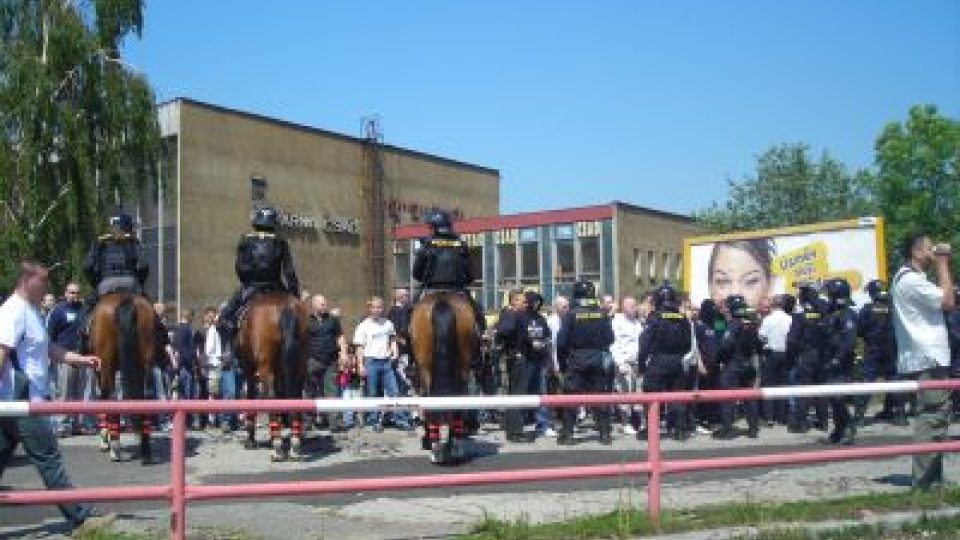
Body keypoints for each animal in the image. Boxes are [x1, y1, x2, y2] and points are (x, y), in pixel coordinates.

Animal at [90, 292, 159, 464]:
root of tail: (125, 299)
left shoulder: (99, 369)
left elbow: (103, 398)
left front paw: (105, 440)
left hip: (107, 363)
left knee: (112, 398)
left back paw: (115, 448)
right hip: (147, 361)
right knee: (146, 397)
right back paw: (146, 450)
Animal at [232, 294, 308, 462]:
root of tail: (285, 307)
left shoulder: (249, 370)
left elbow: (251, 397)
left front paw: (250, 440)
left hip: (264, 369)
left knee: (271, 397)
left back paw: (277, 449)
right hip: (299, 366)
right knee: (294, 396)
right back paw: (295, 445)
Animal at [406, 292, 478, 464]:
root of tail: (442, 301)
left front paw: (428, 440)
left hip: (425, 368)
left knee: (430, 400)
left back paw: (436, 447)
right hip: (463, 366)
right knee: (457, 401)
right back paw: (453, 446)